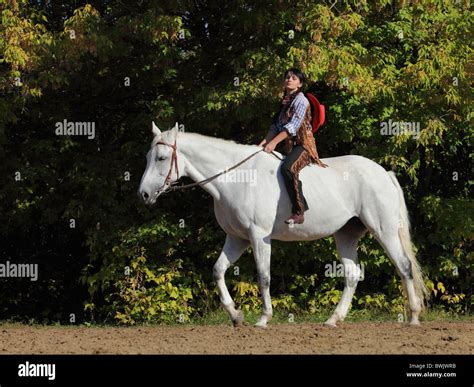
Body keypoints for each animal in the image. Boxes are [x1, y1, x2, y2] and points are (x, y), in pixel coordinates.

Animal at [139, 123, 428, 328]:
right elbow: (218, 271)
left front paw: (263, 319)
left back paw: (413, 317)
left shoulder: (259, 237)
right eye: (148, 156)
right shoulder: (237, 238)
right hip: (346, 235)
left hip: (384, 230)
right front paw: (236, 316)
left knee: (404, 266)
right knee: (352, 274)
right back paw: (333, 320)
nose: (144, 194)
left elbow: (264, 276)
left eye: (162, 157)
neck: (236, 177)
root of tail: (383, 173)